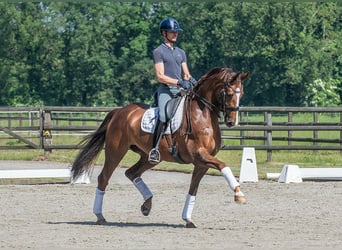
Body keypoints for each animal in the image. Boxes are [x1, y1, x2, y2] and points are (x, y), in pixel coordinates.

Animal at [71, 67, 248, 229]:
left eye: (242, 95)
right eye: (230, 94)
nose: (232, 122)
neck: (202, 115)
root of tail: (119, 111)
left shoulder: (201, 163)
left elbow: (193, 189)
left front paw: (187, 219)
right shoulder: (199, 155)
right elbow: (224, 166)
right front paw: (239, 194)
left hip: (149, 156)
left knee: (132, 173)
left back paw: (147, 205)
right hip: (116, 152)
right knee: (104, 178)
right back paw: (100, 216)